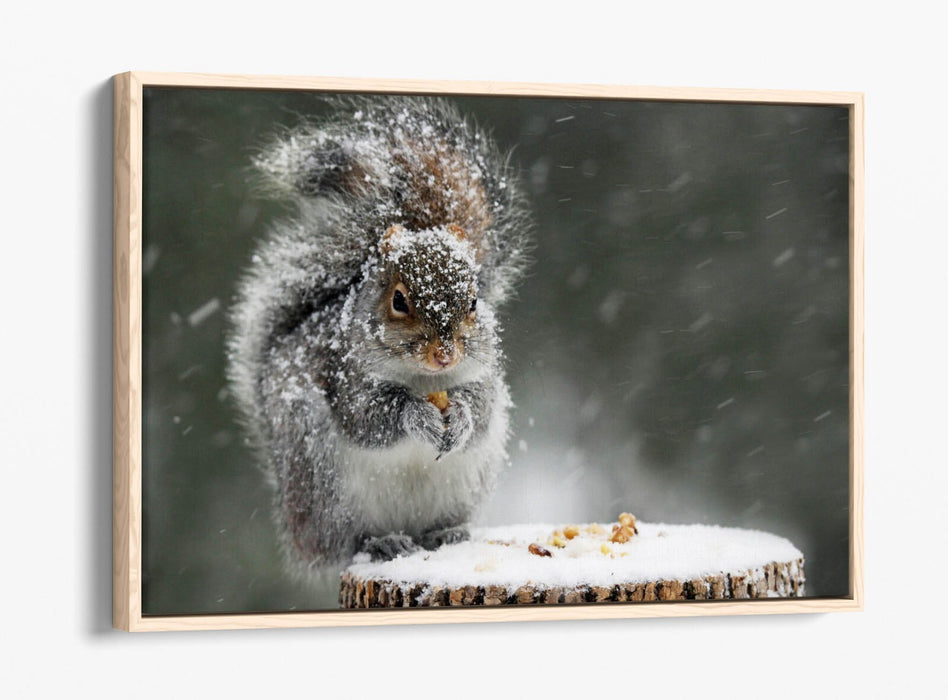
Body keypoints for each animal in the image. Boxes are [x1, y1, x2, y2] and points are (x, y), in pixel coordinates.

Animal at [227, 97, 531, 575]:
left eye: (474, 301)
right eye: (399, 300)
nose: (444, 354)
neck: (425, 381)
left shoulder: (482, 377)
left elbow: (480, 410)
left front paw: (461, 417)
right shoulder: (344, 376)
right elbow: (369, 416)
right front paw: (417, 416)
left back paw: (447, 533)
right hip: (322, 485)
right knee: (343, 544)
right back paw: (380, 543)